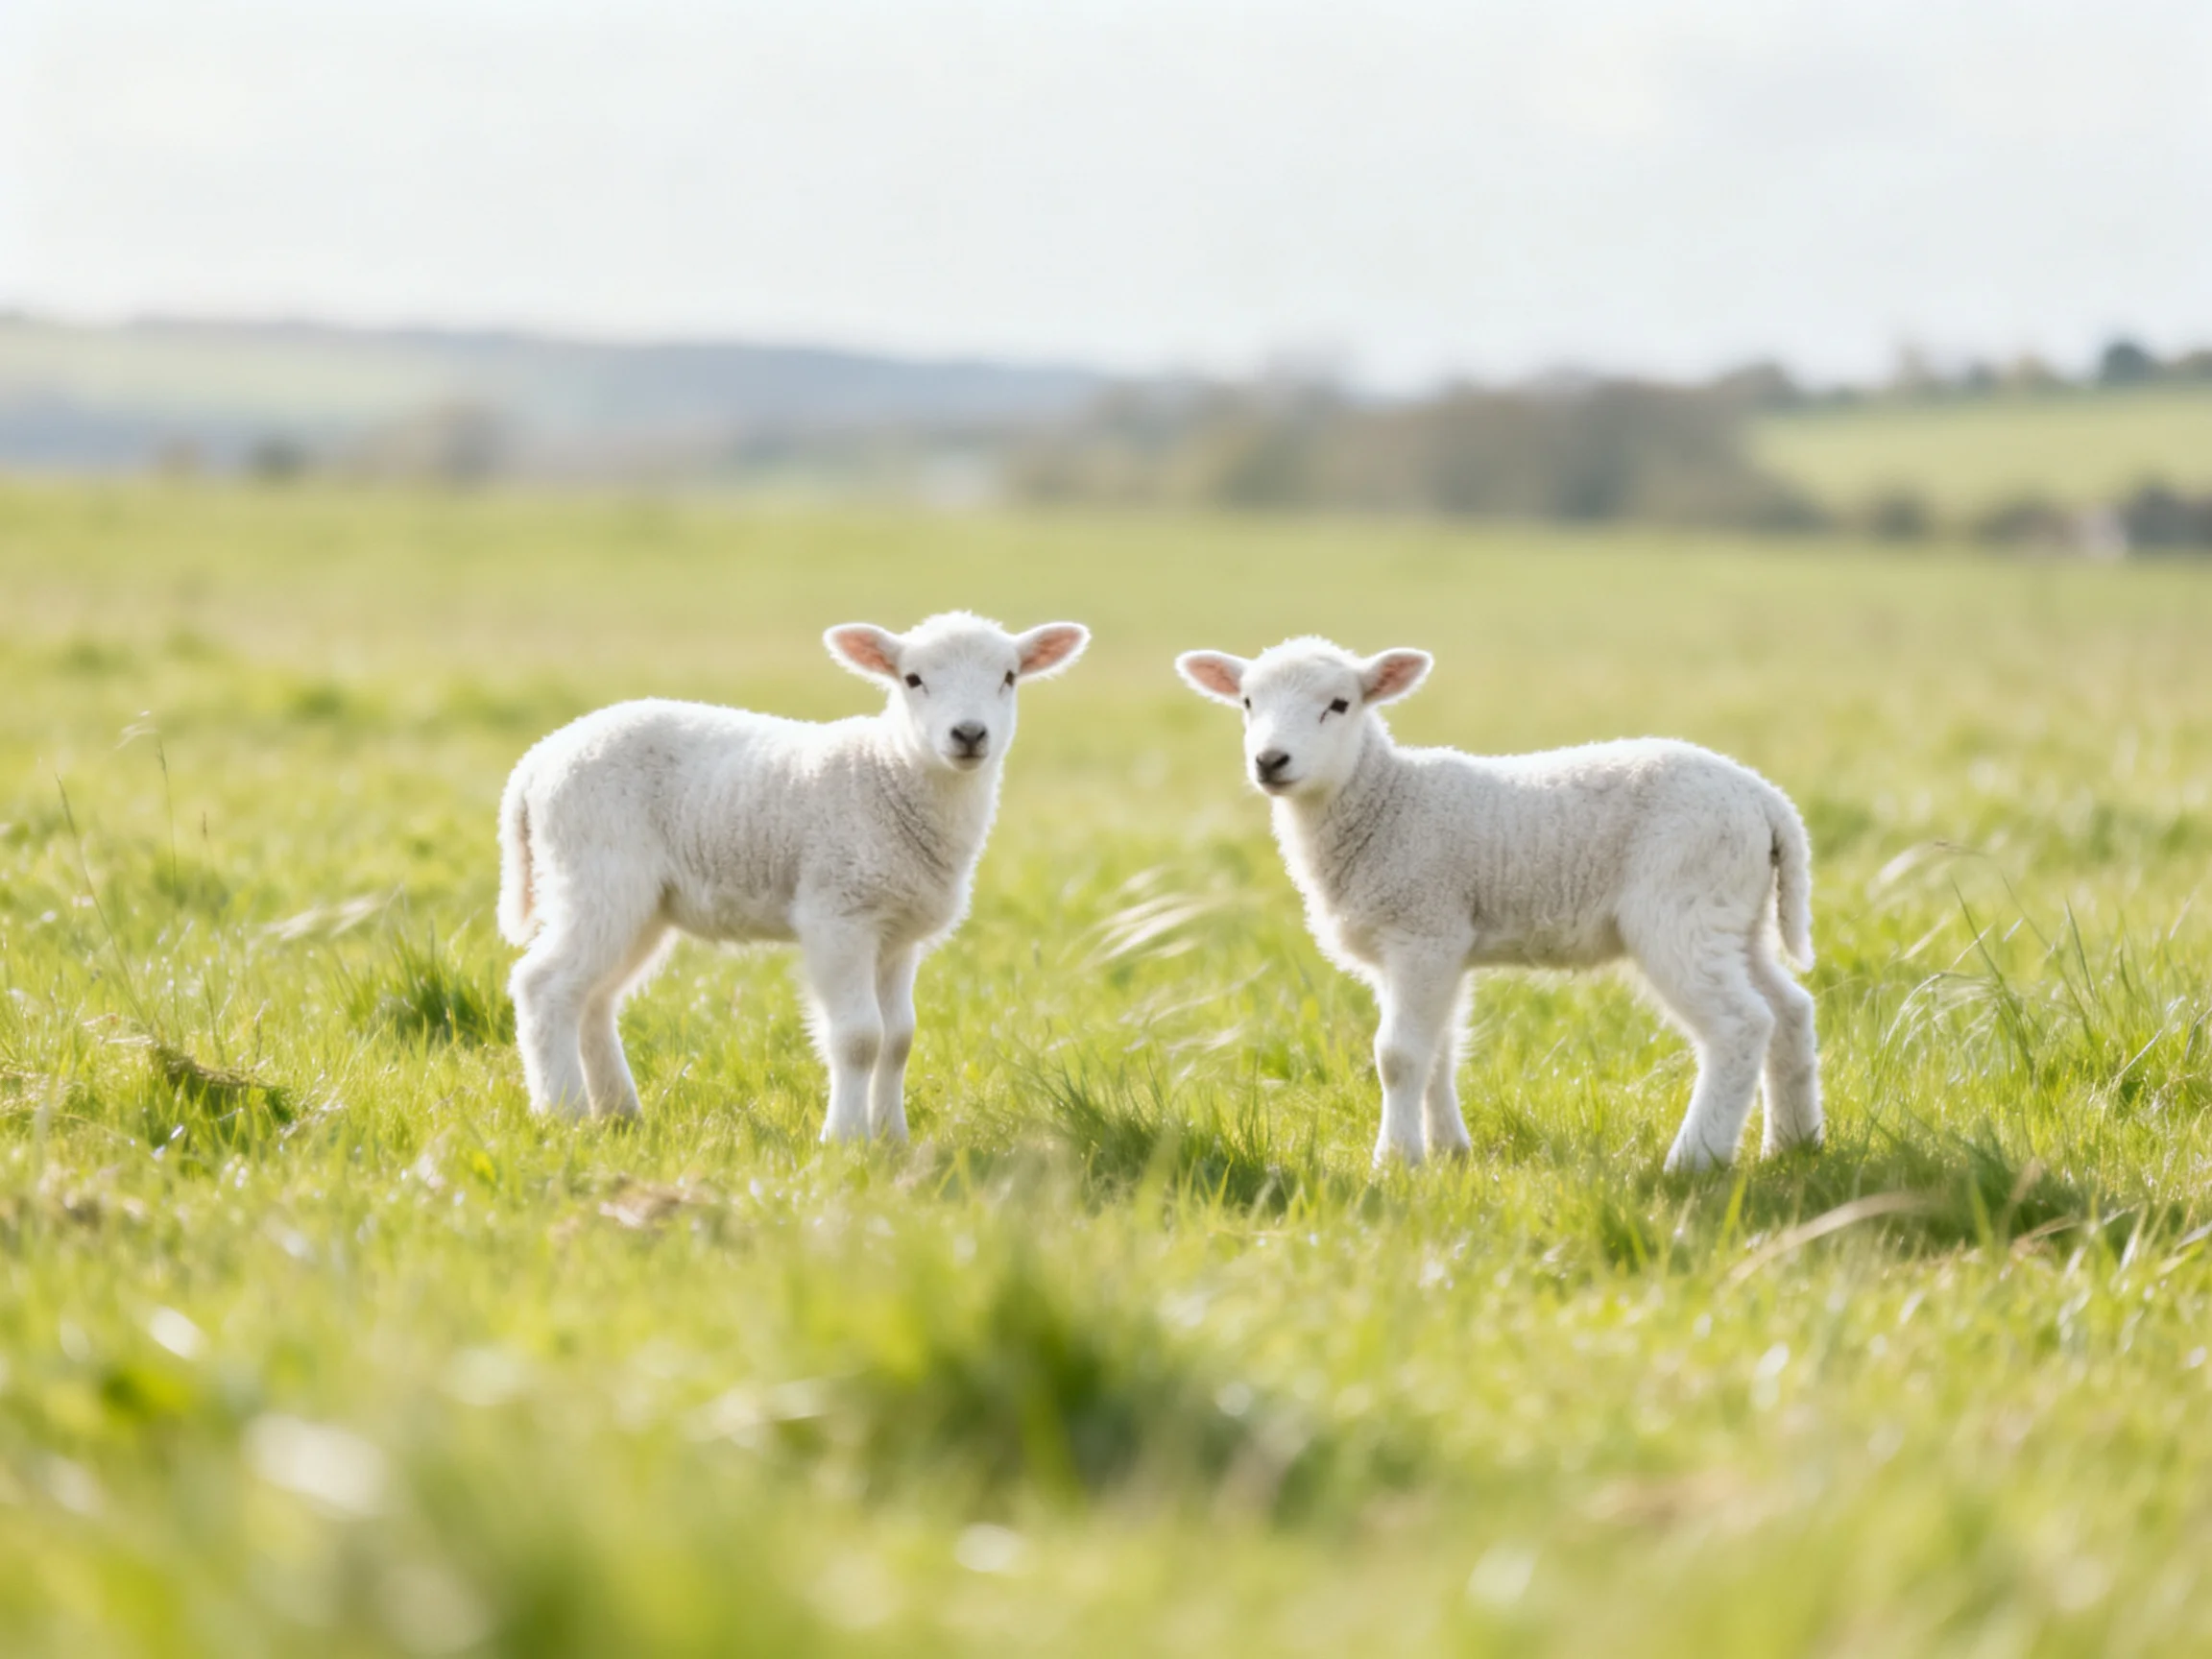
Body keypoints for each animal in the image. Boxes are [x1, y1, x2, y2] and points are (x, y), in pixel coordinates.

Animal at [497, 612, 1089, 1140]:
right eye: (913, 679)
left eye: (1008, 677)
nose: (968, 733)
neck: (889, 774)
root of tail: (535, 763)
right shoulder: (838, 914)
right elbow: (859, 1037)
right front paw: (846, 1140)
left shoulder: (898, 934)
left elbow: (899, 1038)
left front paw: (893, 1138)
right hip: (595, 871)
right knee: (544, 986)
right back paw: (564, 1114)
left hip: (639, 902)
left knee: (595, 997)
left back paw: (619, 1112)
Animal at [1175, 637, 1819, 1172]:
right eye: (1248, 702)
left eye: (1339, 704)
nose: (1270, 761)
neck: (1385, 800)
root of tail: (1766, 800)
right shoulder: (1433, 943)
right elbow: (1438, 1050)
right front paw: (1448, 1151)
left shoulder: (1423, 927)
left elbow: (1398, 1055)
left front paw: (1396, 1161)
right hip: (1736, 915)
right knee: (1789, 1010)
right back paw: (1793, 1144)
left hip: (1682, 905)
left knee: (1740, 1025)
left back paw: (1695, 1160)